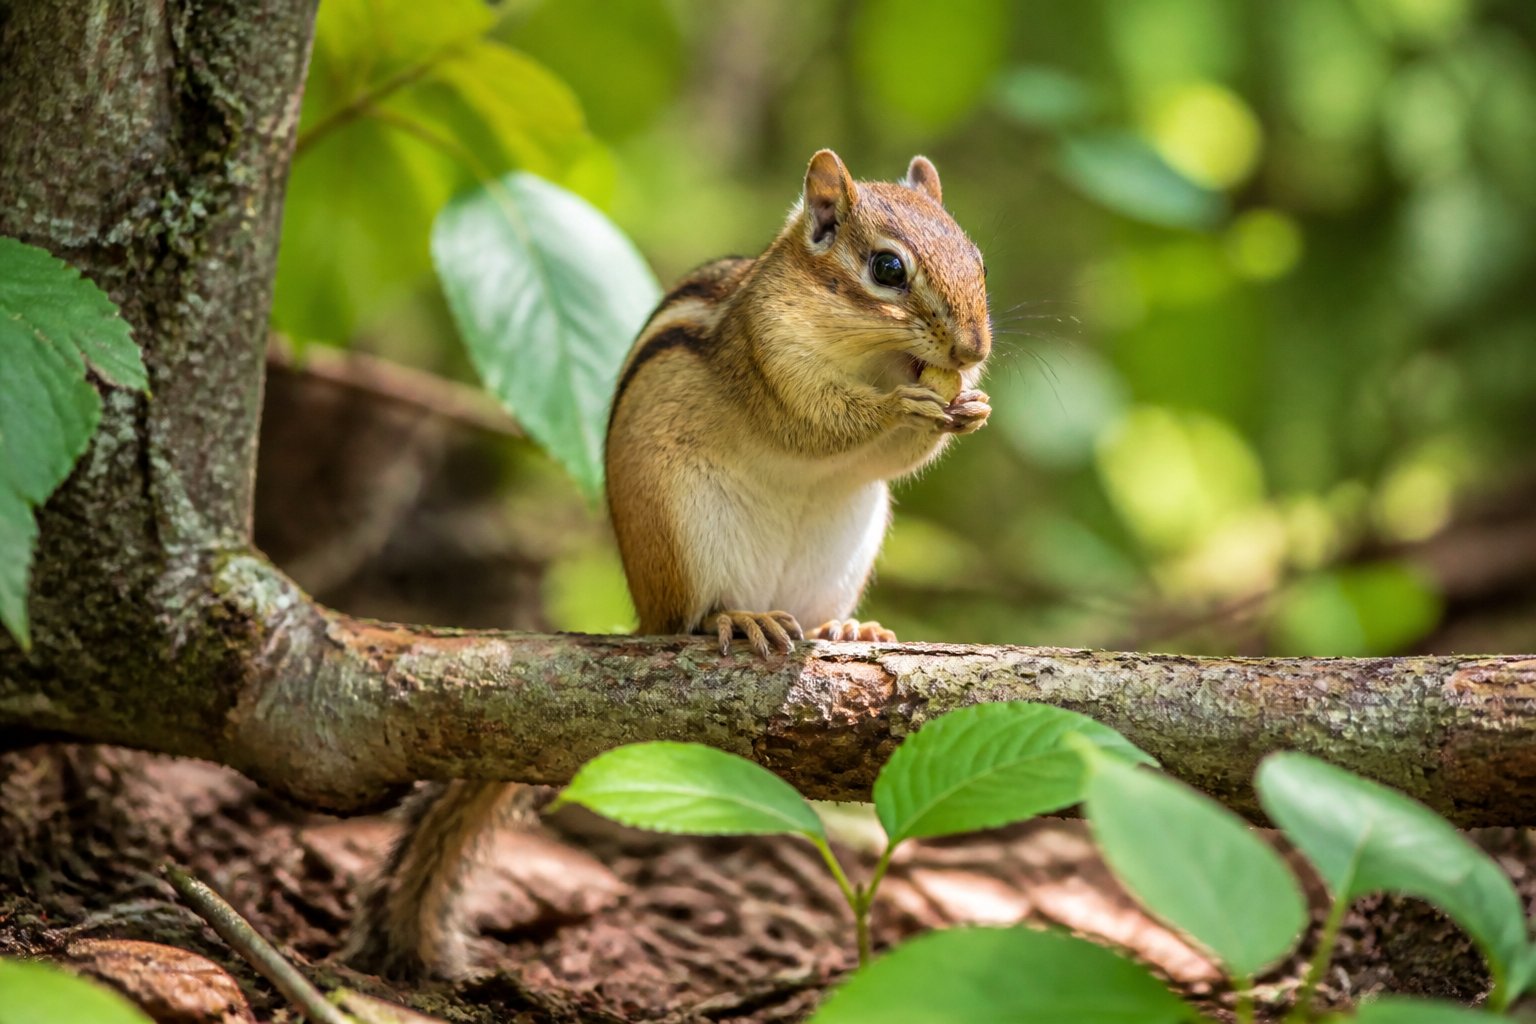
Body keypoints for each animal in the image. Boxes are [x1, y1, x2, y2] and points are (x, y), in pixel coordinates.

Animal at [343, 150, 992, 979]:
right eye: (887, 268)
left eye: (976, 257)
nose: (973, 350)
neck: (874, 357)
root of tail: (644, 608)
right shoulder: (768, 359)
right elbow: (819, 425)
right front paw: (900, 408)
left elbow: (891, 454)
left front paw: (970, 405)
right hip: (683, 529)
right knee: (690, 619)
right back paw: (738, 619)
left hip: (847, 542)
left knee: (813, 612)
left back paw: (844, 631)